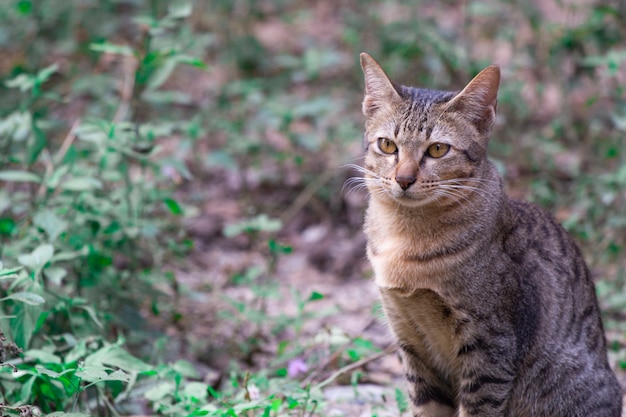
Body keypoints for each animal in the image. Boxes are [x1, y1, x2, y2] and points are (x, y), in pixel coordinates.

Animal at [354, 52, 620, 416]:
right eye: (386, 145)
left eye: (437, 150)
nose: (404, 179)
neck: (406, 239)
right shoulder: (410, 342)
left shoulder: (491, 345)